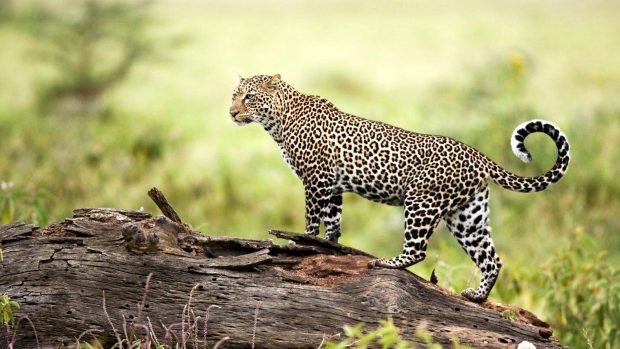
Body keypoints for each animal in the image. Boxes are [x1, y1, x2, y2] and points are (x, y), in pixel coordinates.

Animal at [229, 73, 572, 302]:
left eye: (249, 97)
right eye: (234, 95)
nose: (232, 112)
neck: (278, 120)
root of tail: (477, 155)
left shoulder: (316, 179)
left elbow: (312, 219)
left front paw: (300, 244)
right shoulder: (333, 186)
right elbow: (334, 222)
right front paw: (329, 247)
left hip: (421, 201)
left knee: (418, 249)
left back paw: (386, 262)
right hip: (467, 216)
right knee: (491, 258)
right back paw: (477, 296)